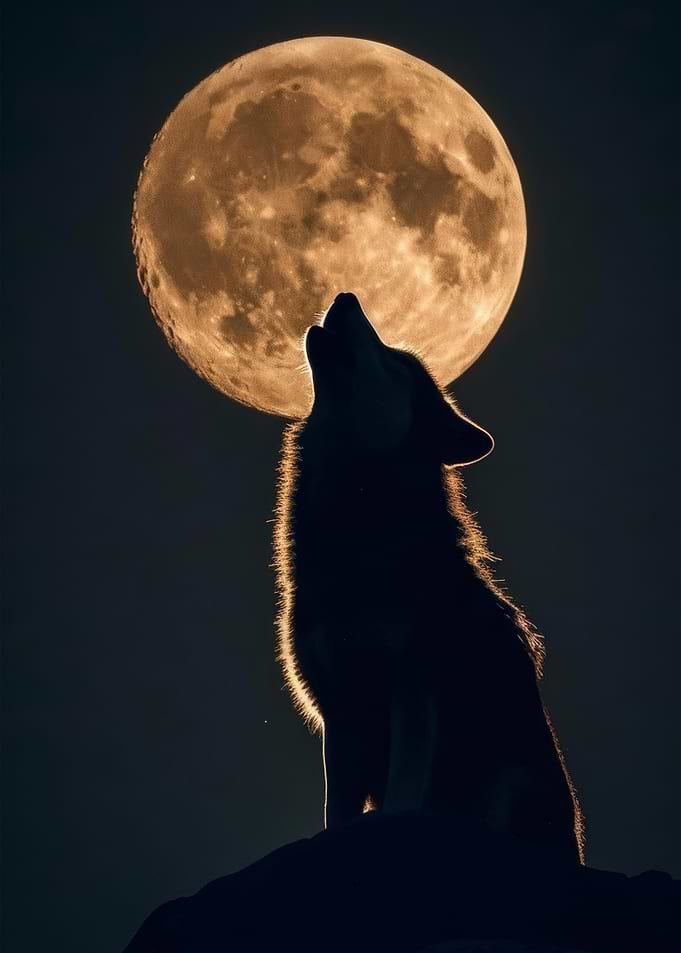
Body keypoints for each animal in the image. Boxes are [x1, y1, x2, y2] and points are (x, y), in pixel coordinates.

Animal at [274, 292, 584, 864]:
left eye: (397, 363)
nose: (346, 296)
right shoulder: (340, 712)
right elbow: (336, 813)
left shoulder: (414, 690)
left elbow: (402, 795)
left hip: (512, 783)